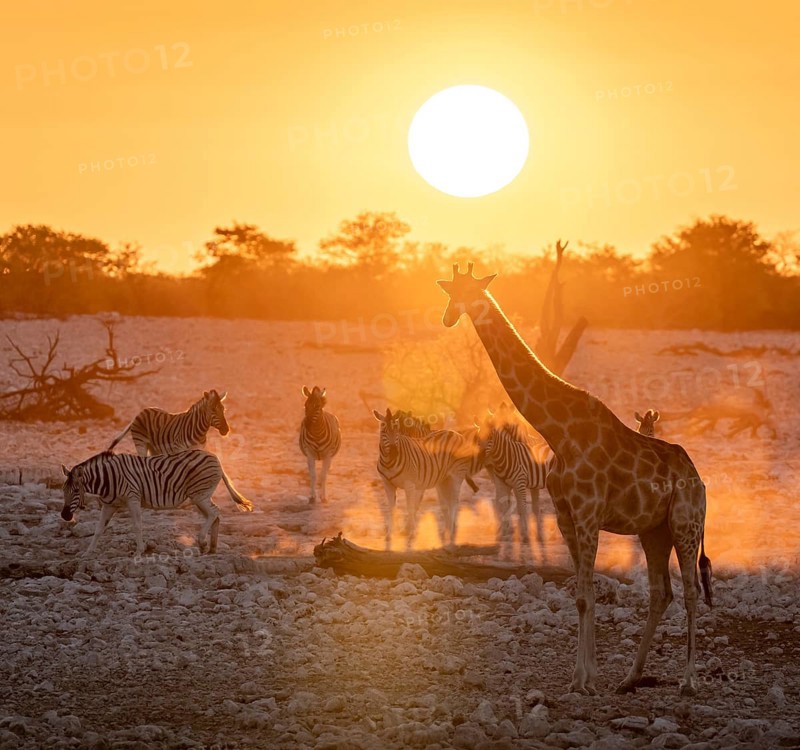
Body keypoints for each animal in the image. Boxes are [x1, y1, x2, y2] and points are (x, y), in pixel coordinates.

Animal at [60, 449, 253, 556]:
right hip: (200, 496)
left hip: (199, 495)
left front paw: (139, 551)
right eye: (63, 490)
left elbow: (137, 525)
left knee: (214, 512)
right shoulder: (109, 505)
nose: (64, 515)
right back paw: (212, 548)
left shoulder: (133, 498)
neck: (108, 479)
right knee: (215, 515)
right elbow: (99, 529)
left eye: (76, 491)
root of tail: (215, 457)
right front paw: (88, 552)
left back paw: (202, 542)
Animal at [373, 408, 477, 550]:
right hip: (443, 479)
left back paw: (452, 533)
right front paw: (389, 535)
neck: (389, 462)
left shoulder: (410, 484)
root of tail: (456, 433)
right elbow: (391, 508)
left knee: (454, 501)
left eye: (396, 431)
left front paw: (411, 534)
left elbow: (411, 506)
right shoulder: (387, 484)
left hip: (456, 475)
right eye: (384, 431)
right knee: (446, 503)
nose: (394, 453)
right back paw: (447, 531)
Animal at [437, 262, 712, 696]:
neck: (557, 431)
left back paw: (688, 680)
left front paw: (584, 679)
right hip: (654, 530)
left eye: (472, 291)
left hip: (686, 523)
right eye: (450, 292)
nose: (449, 318)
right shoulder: (566, 515)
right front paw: (585, 676)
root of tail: (699, 479)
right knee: (660, 593)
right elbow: (581, 595)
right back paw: (630, 677)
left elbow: (588, 593)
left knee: (690, 592)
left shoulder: (587, 513)